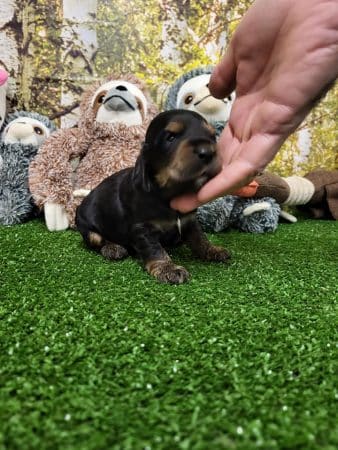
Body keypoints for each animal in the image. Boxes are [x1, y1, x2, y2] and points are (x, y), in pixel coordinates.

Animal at [75, 109, 230, 284]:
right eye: (171, 137)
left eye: (212, 136)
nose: (208, 152)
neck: (169, 194)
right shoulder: (142, 229)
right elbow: (155, 249)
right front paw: (169, 269)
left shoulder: (189, 220)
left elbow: (199, 238)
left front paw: (213, 250)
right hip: (86, 227)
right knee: (98, 239)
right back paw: (113, 248)